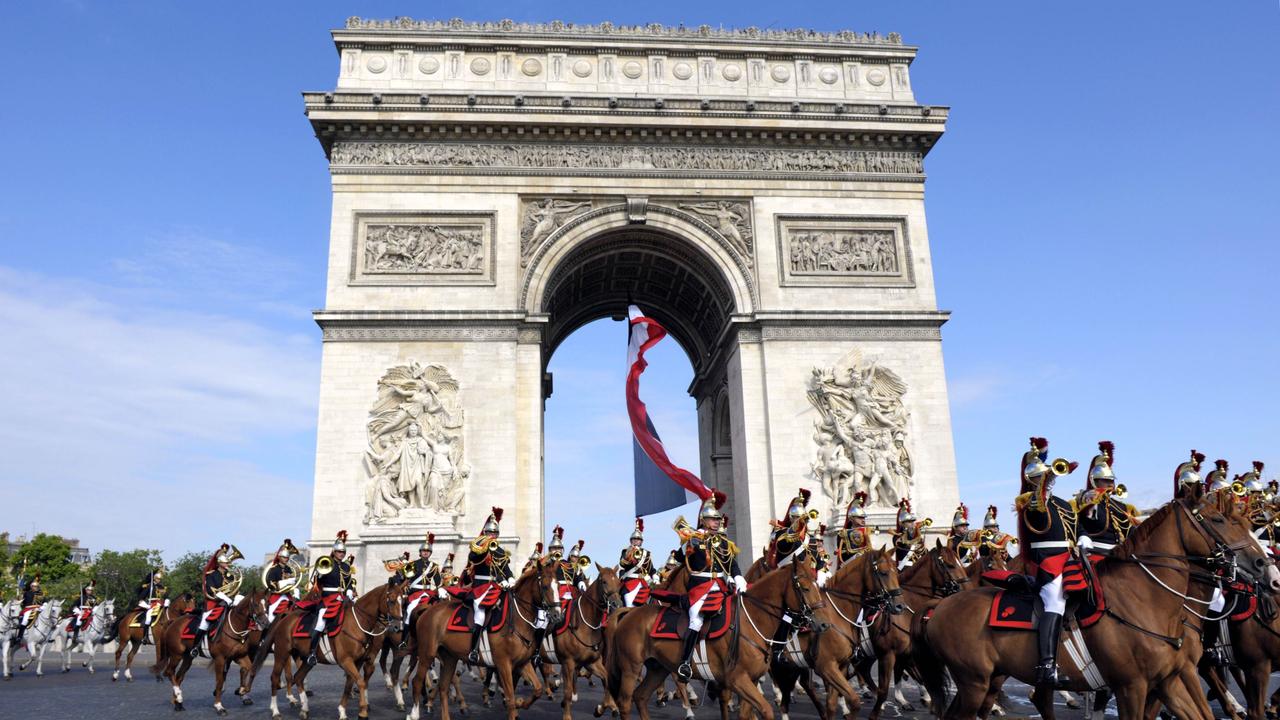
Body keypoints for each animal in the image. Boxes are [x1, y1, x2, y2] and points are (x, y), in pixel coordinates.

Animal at [249, 579, 404, 717]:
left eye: (403, 601)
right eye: (391, 600)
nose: (398, 627)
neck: (357, 623)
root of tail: (286, 617)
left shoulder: (358, 662)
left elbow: (350, 684)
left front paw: (342, 711)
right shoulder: (346, 661)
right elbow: (360, 682)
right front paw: (363, 711)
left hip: (307, 660)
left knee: (298, 677)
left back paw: (304, 709)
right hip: (281, 654)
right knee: (275, 678)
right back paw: (275, 711)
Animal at [407, 558, 563, 717]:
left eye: (557, 585)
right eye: (545, 587)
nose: (558, 615)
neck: (518, 620)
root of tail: (428, 609)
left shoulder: (522, 662)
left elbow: (537, 689)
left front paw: (521, 703)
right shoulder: (503, 664)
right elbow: (510, 698)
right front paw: (512, 703)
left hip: (450, 657)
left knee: (443, 688)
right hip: (427, 654)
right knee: (417, 681)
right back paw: (414, 713)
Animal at [604, 558, 824, 717]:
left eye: (816, 585)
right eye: (805, 588)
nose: (822, 623)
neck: (752, 619)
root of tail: (630, 612)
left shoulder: (750, 681)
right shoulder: (737, 680)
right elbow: (765, 710)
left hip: (658, 668)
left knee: (640, 697)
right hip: (630, 669)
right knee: (625, 702)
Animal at [916, 491, 1280, 717]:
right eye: (1217, 520)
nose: (1265, 568)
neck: (1148, 599)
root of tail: (942, 607)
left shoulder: (1170, 680)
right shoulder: (1133, 686)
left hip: (985, 681)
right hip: (974, 682)